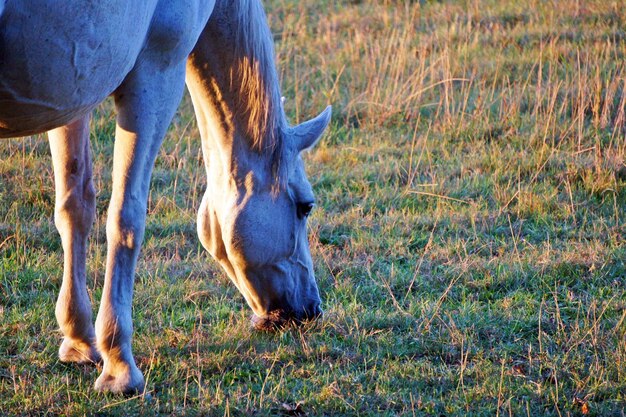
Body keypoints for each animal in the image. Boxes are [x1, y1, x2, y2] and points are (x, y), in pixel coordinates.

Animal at [0, 0, 330, 392]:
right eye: (305, 206)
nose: (310, 310)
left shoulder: (74, 93)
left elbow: (74, 209)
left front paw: (79, 342)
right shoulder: (157, 71)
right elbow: (126, 218)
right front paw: (119, 369)